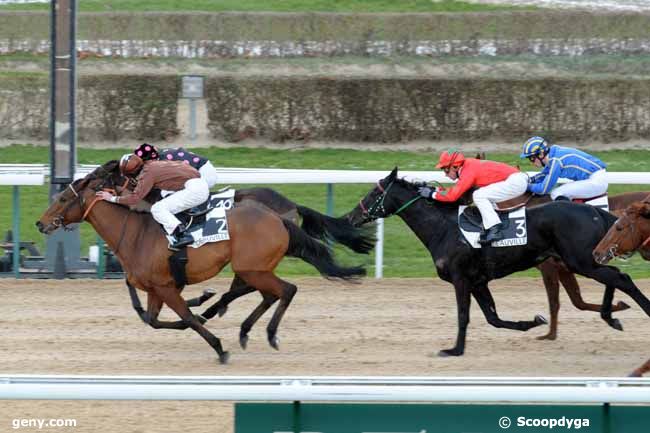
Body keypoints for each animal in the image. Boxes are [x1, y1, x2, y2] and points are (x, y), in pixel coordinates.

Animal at [35, 160, 364, 362]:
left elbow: (184, 318)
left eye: (62, 198)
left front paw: (219, 348)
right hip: (255, 267)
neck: (136, 232)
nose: (41, 223)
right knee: (269, 293)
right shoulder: (158, 287)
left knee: (285, 290)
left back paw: (266, 333)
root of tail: (279, 215)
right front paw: (203, 309)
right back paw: (242, 328)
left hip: (251, 267)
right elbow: (153, 319)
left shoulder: (166, 286)